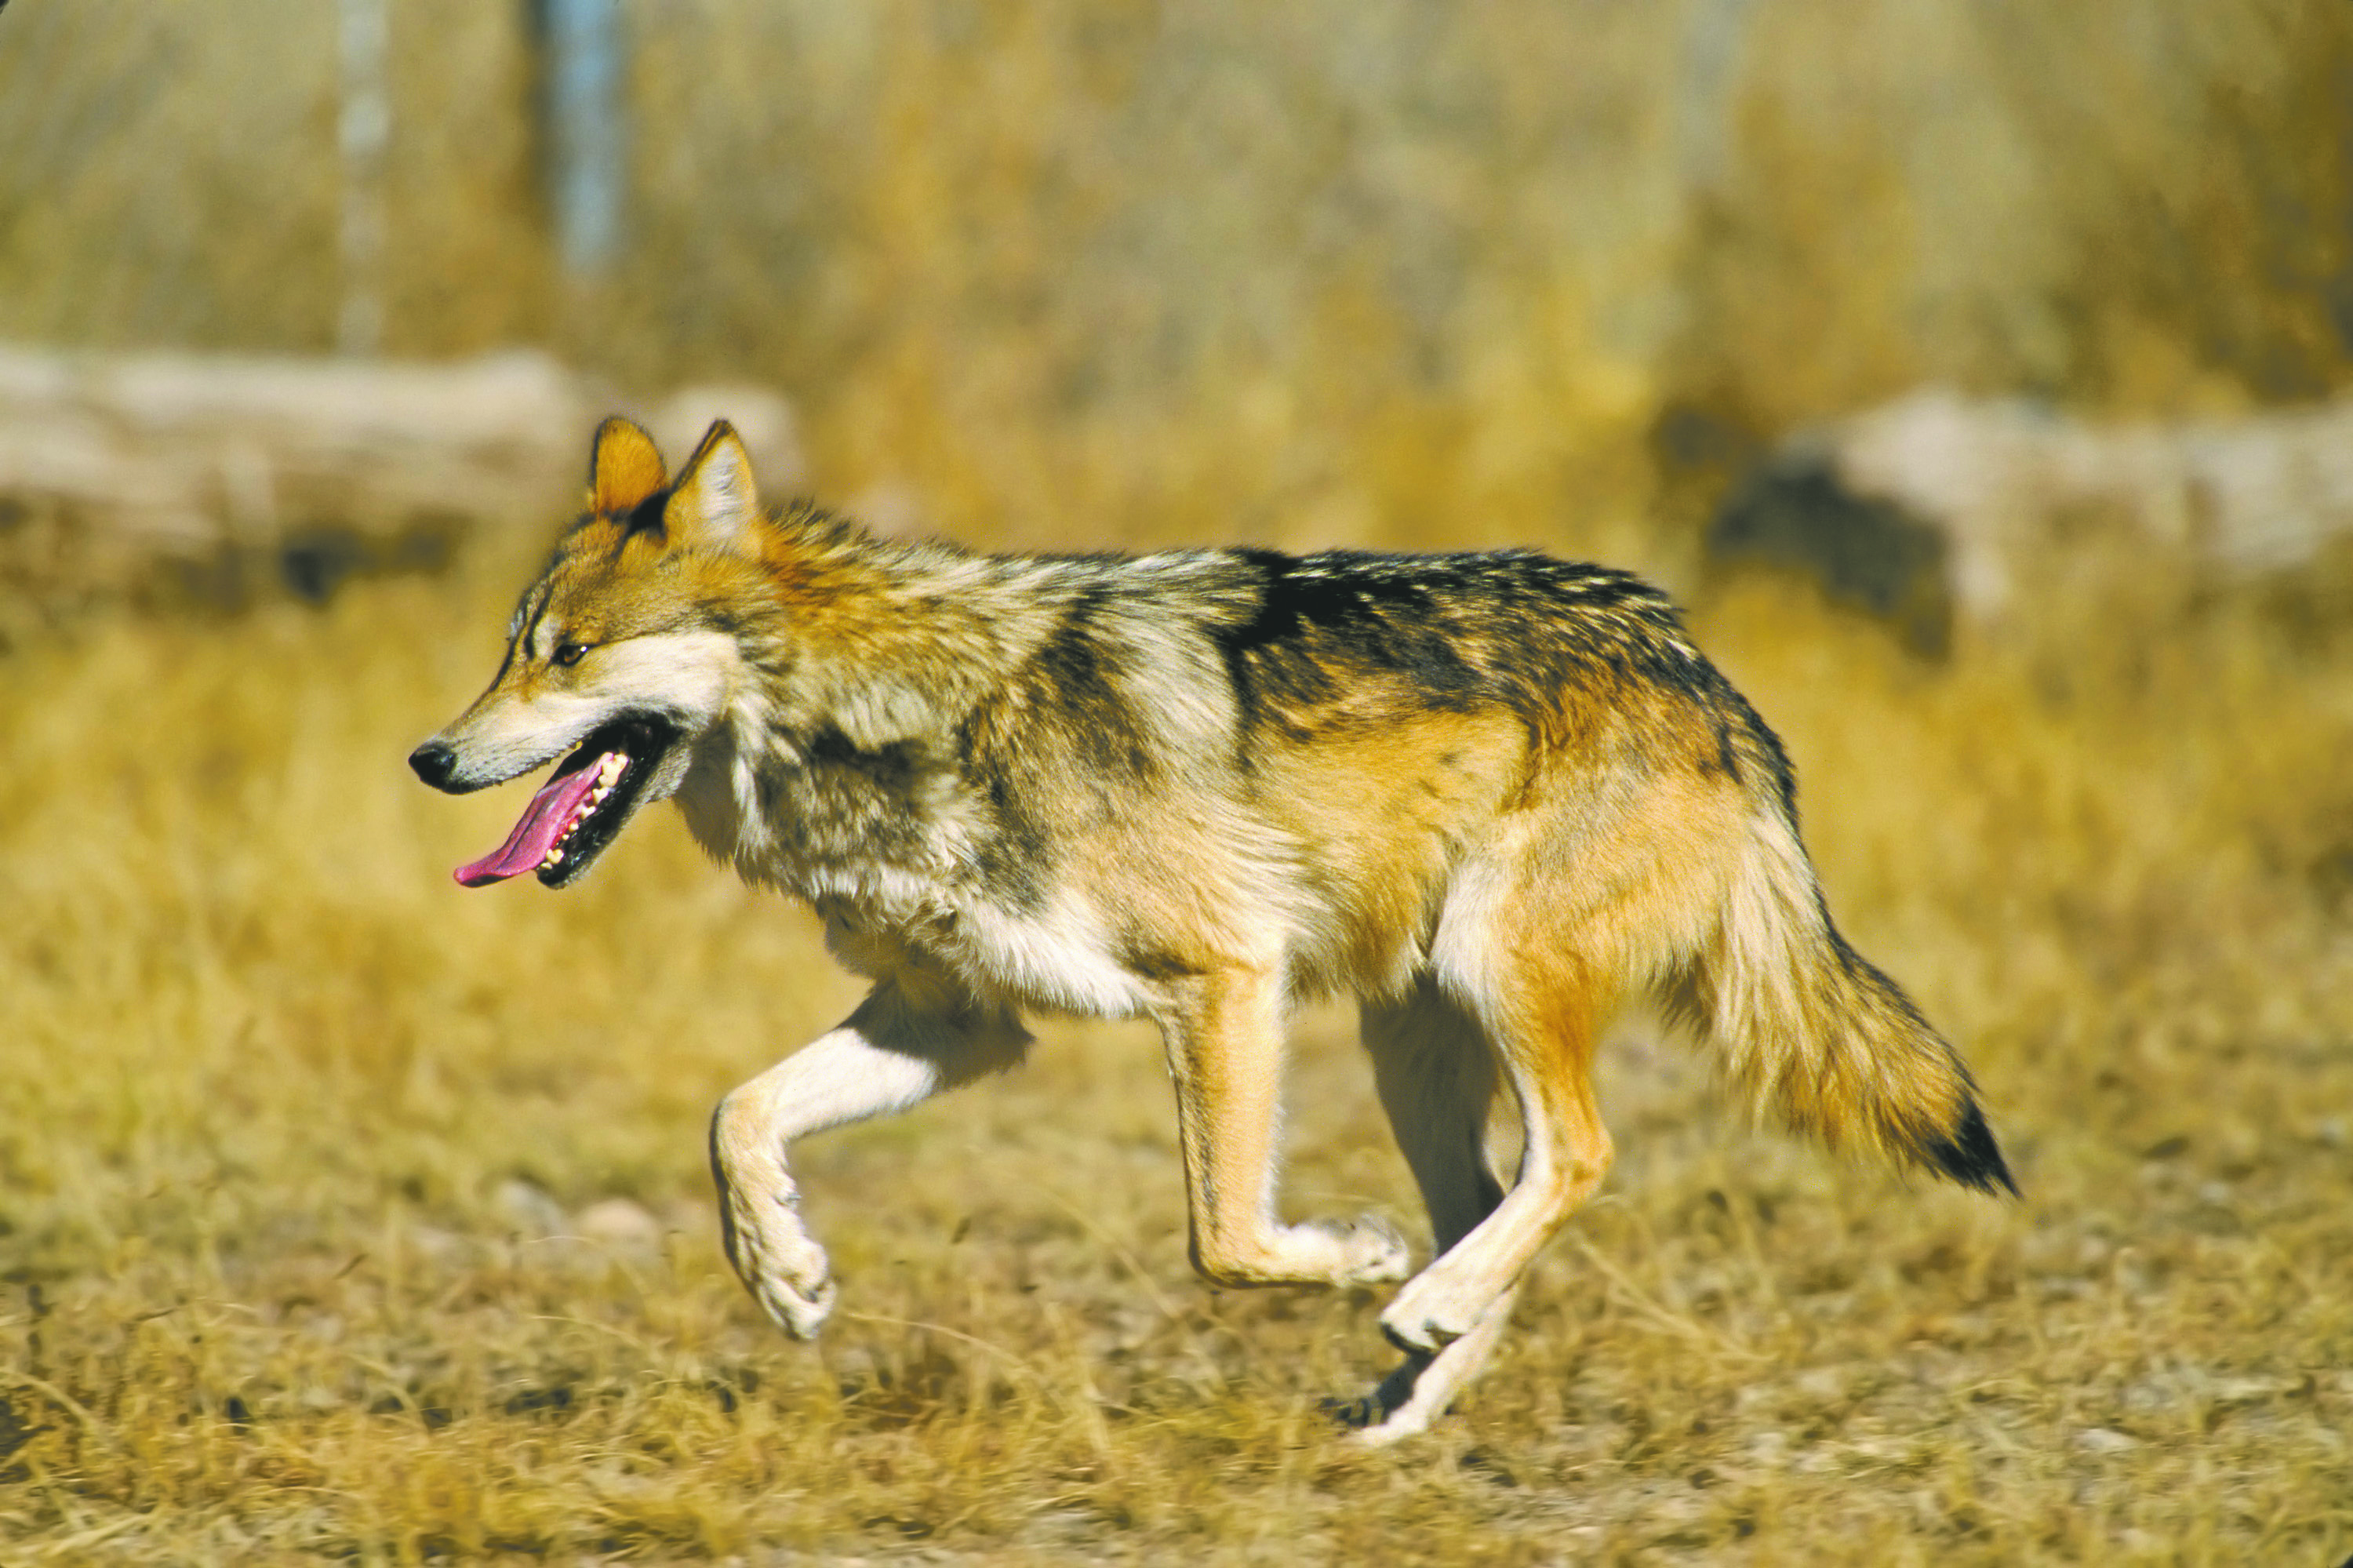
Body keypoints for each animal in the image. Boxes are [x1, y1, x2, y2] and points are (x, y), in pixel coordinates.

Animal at [410, 417, 2014, 1442]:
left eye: (570, 654)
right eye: (507, 649)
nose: (430, 756)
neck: (896, 719)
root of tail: (1700, 667)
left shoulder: (1223, 979)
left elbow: (1226, 1238)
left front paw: (1349, 1255)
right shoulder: (958, 1022)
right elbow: (736, 1115)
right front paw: (786, 1273)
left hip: (1488, 974)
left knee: (1576, 1157)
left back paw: (1413, 1299)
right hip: (1410, 1039)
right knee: (1498, 1198)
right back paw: (1410, 1384)